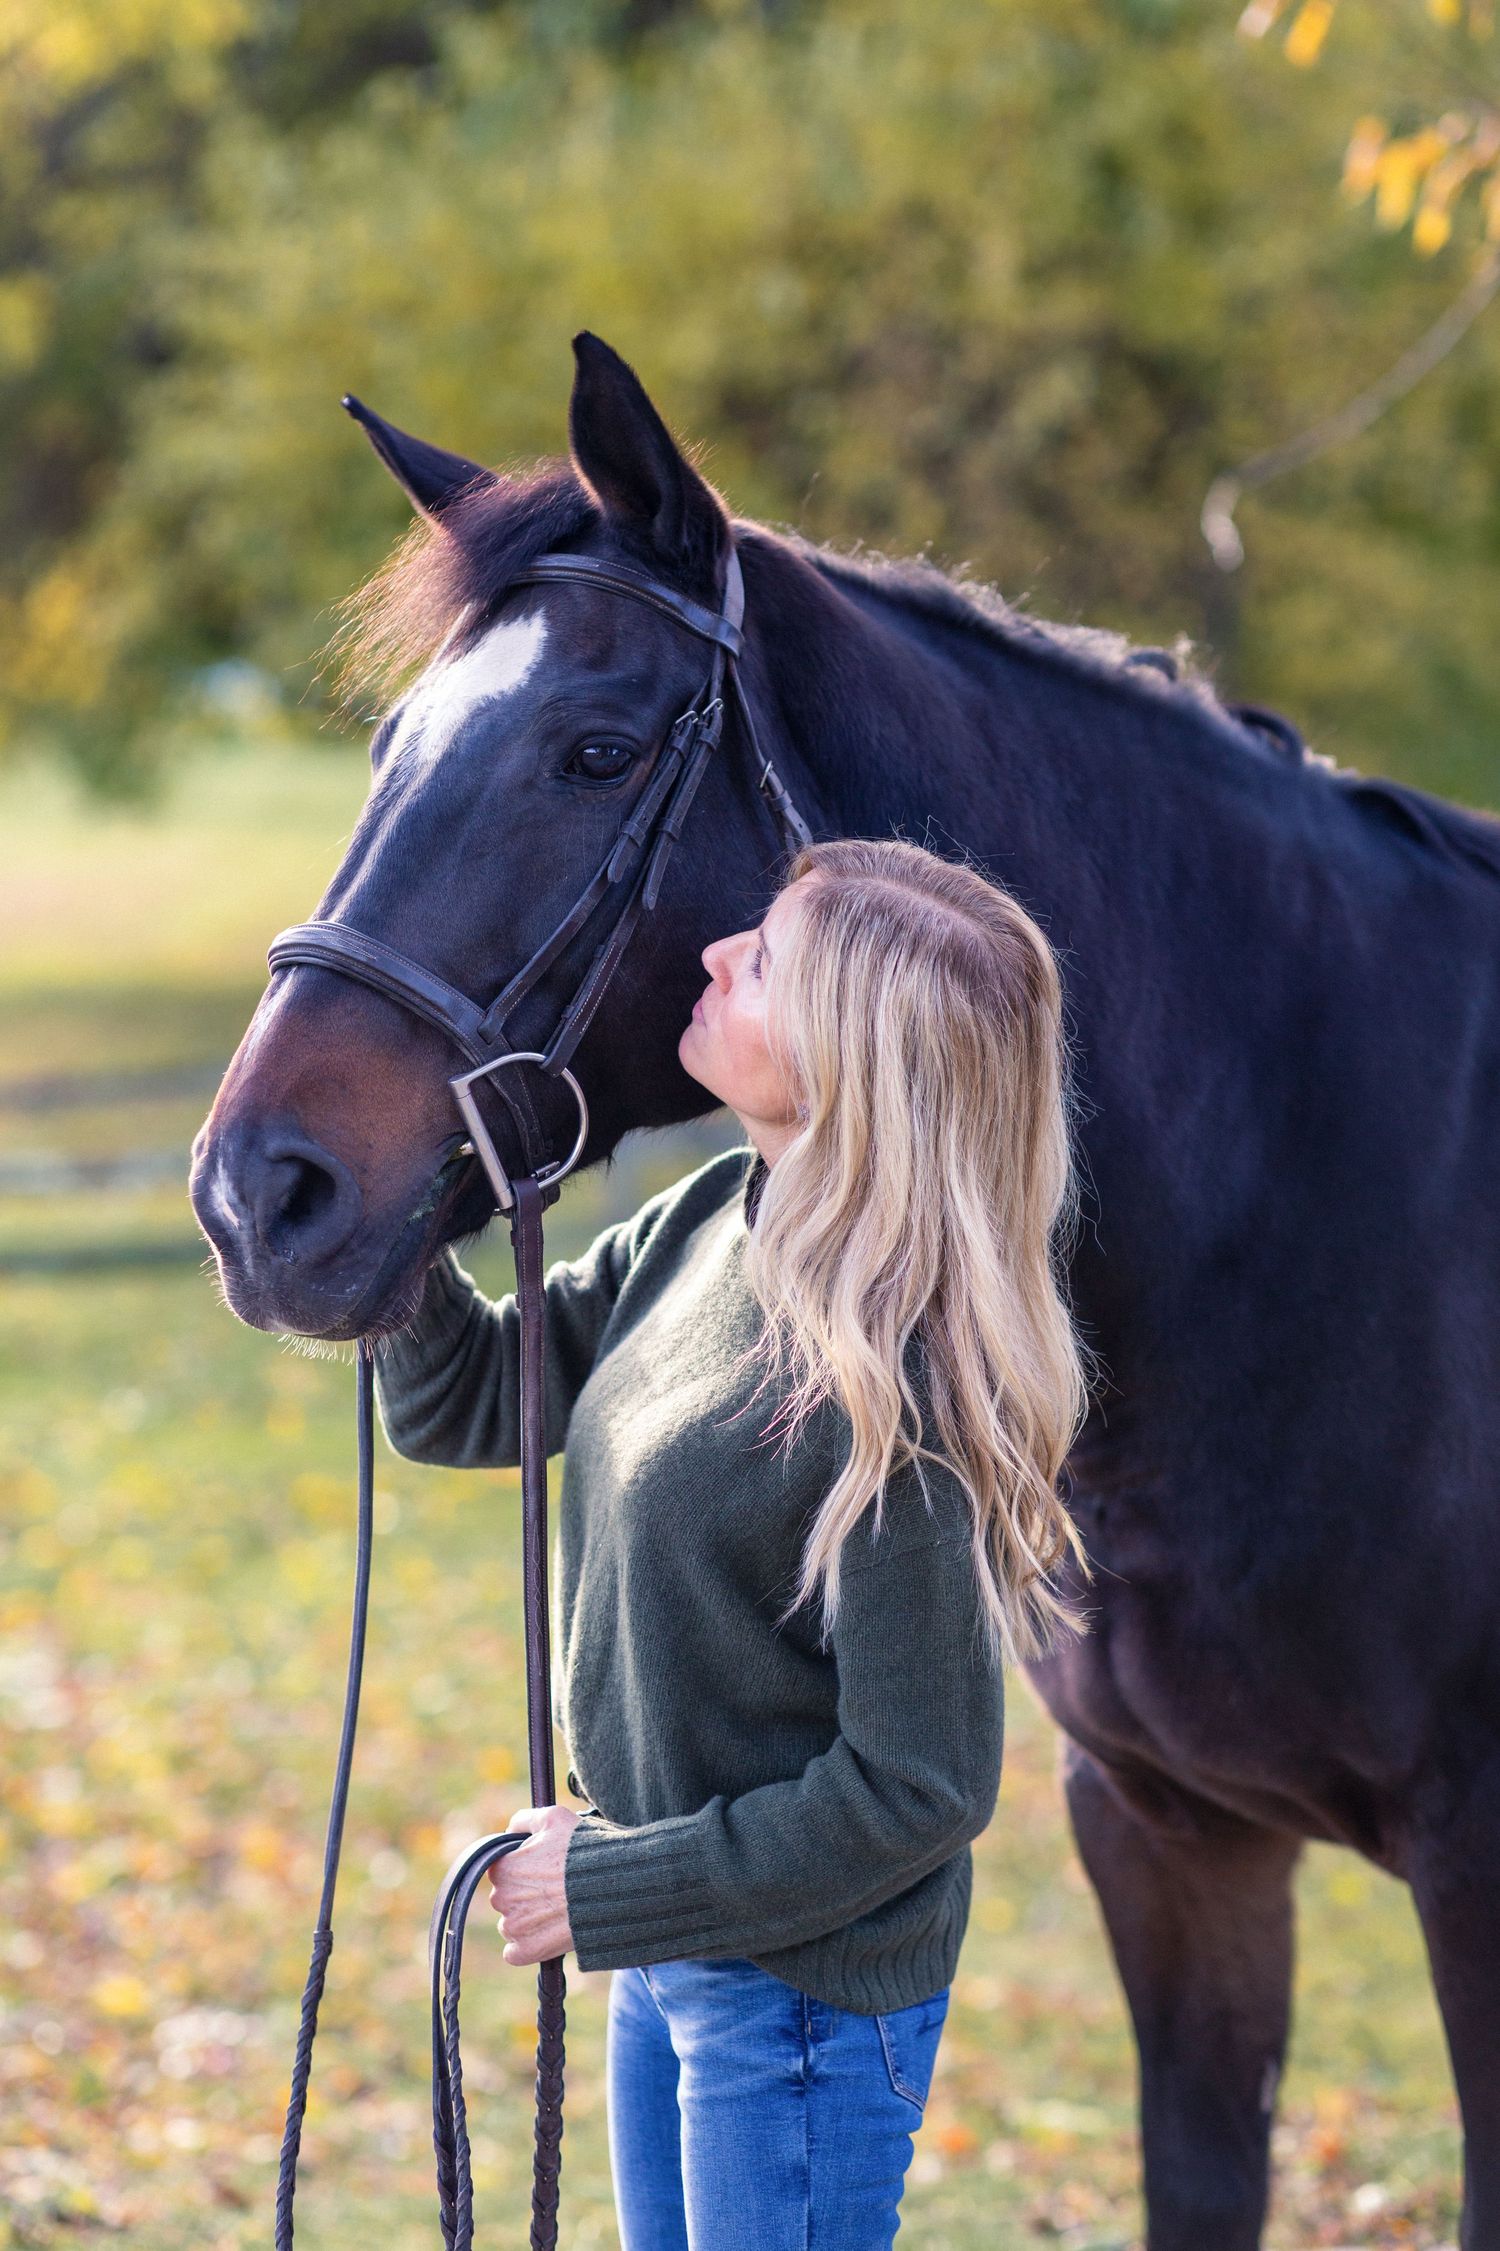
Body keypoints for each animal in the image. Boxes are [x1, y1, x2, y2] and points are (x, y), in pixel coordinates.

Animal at [191, 330, 1500, 2250]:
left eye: (594, 751)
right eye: (386, 745)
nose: (255, 1196)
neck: (1318, 1196)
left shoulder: (1479, 1871)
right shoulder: (1171, 1836)